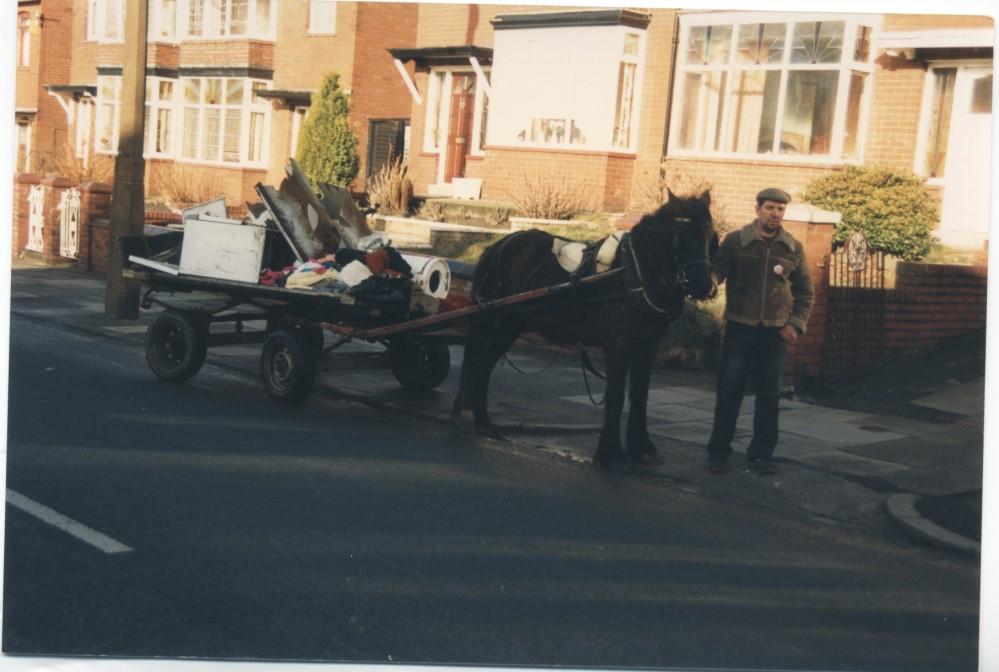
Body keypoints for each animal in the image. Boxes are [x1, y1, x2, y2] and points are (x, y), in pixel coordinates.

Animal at [454, 192, 720, 470]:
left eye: (708, 232)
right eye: (678, 233)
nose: (703, 285)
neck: (637, 275)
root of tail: (497, 246)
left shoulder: (648, 345)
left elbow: (640, 394)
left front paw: (641, 448)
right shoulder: (618, 343)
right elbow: (616, 396)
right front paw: (610, 453)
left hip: (508, 325)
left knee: (482, 364)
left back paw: (480, 421)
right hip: (498, 322)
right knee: (481, 364)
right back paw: (480, 420)